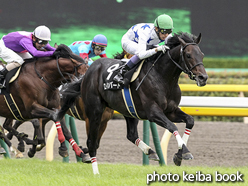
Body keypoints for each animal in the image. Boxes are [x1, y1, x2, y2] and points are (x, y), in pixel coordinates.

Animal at [57, 32, 208, 174]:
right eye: (188, 55)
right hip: (95, 112)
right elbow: (172, 126)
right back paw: (95, 171)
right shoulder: (153, 112)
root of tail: (88, 72)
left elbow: (190, 121)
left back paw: (150, 151)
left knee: (131, 135)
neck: (162, 77)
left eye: (202, 54)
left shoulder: (171, 111)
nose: (203, 77)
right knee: (91, 142)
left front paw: (180, 154)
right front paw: (184, 152)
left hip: (128, 111)